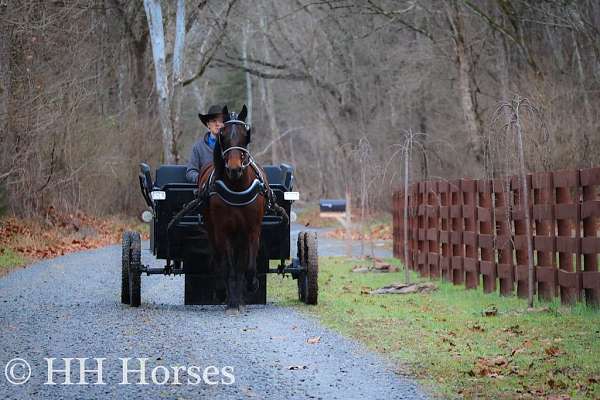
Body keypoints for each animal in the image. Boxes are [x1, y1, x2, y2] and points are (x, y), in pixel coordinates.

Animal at [198, 104, 268, 314]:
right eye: (223, 134)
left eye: (246, 135)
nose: (234, 169)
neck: (237, 187)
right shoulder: (224, 230)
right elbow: (228, 267)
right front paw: (231, 302)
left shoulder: (252, 229)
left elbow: (248, 266)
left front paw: (250, 287)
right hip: (212, 229)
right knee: (218, 259)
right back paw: (224, 291)